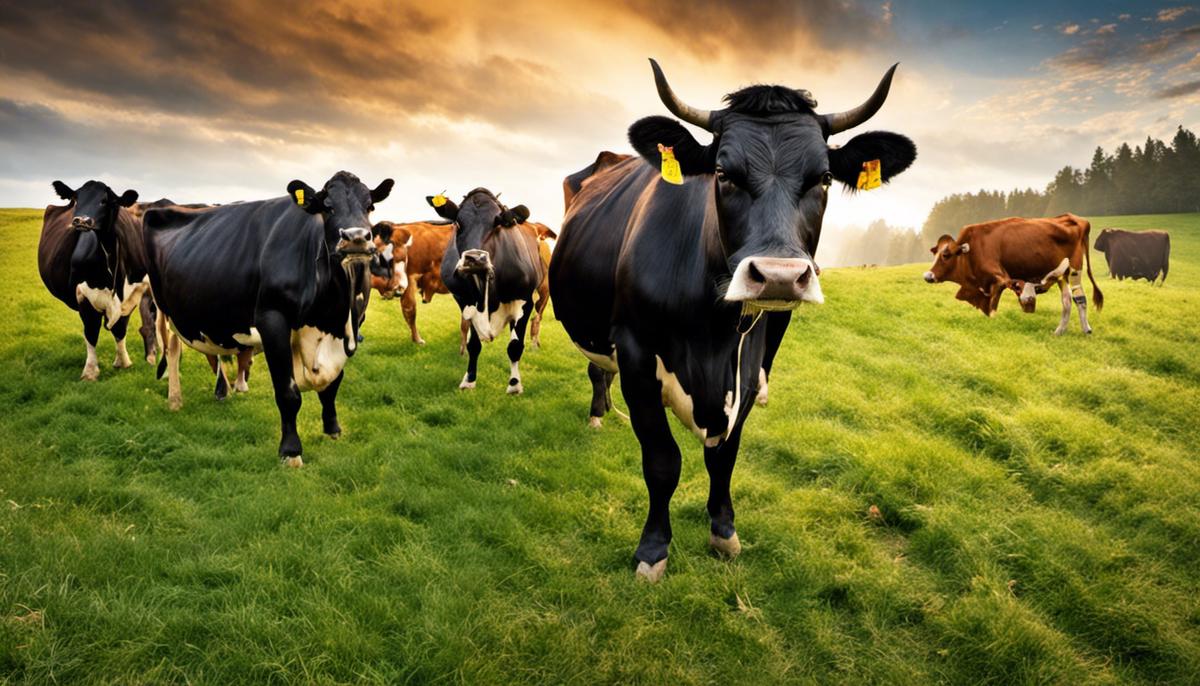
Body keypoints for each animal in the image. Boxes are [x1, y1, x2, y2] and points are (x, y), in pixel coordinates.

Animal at [38, 179, 154, 378]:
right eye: (76, 198)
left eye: (105, 201)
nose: (81, 221)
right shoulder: (83, 295)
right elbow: (91, 332)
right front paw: (90, 371)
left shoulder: (133, 295)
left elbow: (120, 329)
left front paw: (123, 361)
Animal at [142, 170, 391, 465]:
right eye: (327, 207)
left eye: (369, 206)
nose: (356, 237)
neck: (331, 312)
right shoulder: (272, 320)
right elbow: (288, 392)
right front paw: (291, 451)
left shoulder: (350, 325)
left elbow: (333, 384)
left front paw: (333, 429)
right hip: (163, 307)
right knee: (171, 349)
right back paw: (175, 399)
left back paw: (222, 391)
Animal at [427, 190, 544, 393]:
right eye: (458, 223)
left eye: (497, 223)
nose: (475, 258)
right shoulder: (465, 300)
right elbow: (473, 344)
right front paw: (469, 379)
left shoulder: (525, 299)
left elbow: (515, 346)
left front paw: (514, 384)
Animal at [549, 61, 912, 580]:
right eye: (722, 173)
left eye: (823, 176)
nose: (780, 276)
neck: (712, 336)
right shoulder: (636, 350)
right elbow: (662, 460)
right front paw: (653, 548)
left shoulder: (749, 358)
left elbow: (725, 456)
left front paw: (723, 531)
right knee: (597, 368)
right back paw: (599, 413)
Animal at [926, 212, 1104, 335]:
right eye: (935, 253)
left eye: (946, 255)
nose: (928, 276)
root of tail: (1074, 218)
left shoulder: (999, 279)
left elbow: (993, 305)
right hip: (1062, 275)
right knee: (1066, 301)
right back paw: (1059, 331)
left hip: (1075, 270)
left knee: (1080, 298)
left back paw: (1086, 330)